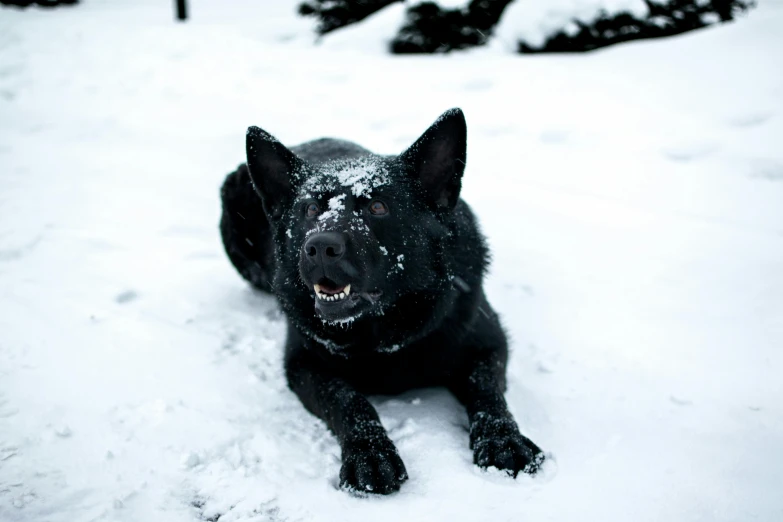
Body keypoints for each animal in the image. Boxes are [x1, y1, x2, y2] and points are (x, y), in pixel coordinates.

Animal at [217, 108, 544, 492]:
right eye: (310, 209)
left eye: (377, 206)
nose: (320, 247)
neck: (382, 326)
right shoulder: (304, 364)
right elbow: (349, 401)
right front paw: (370, 454)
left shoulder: (488, 342)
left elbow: (488, 390)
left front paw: (503, 440)